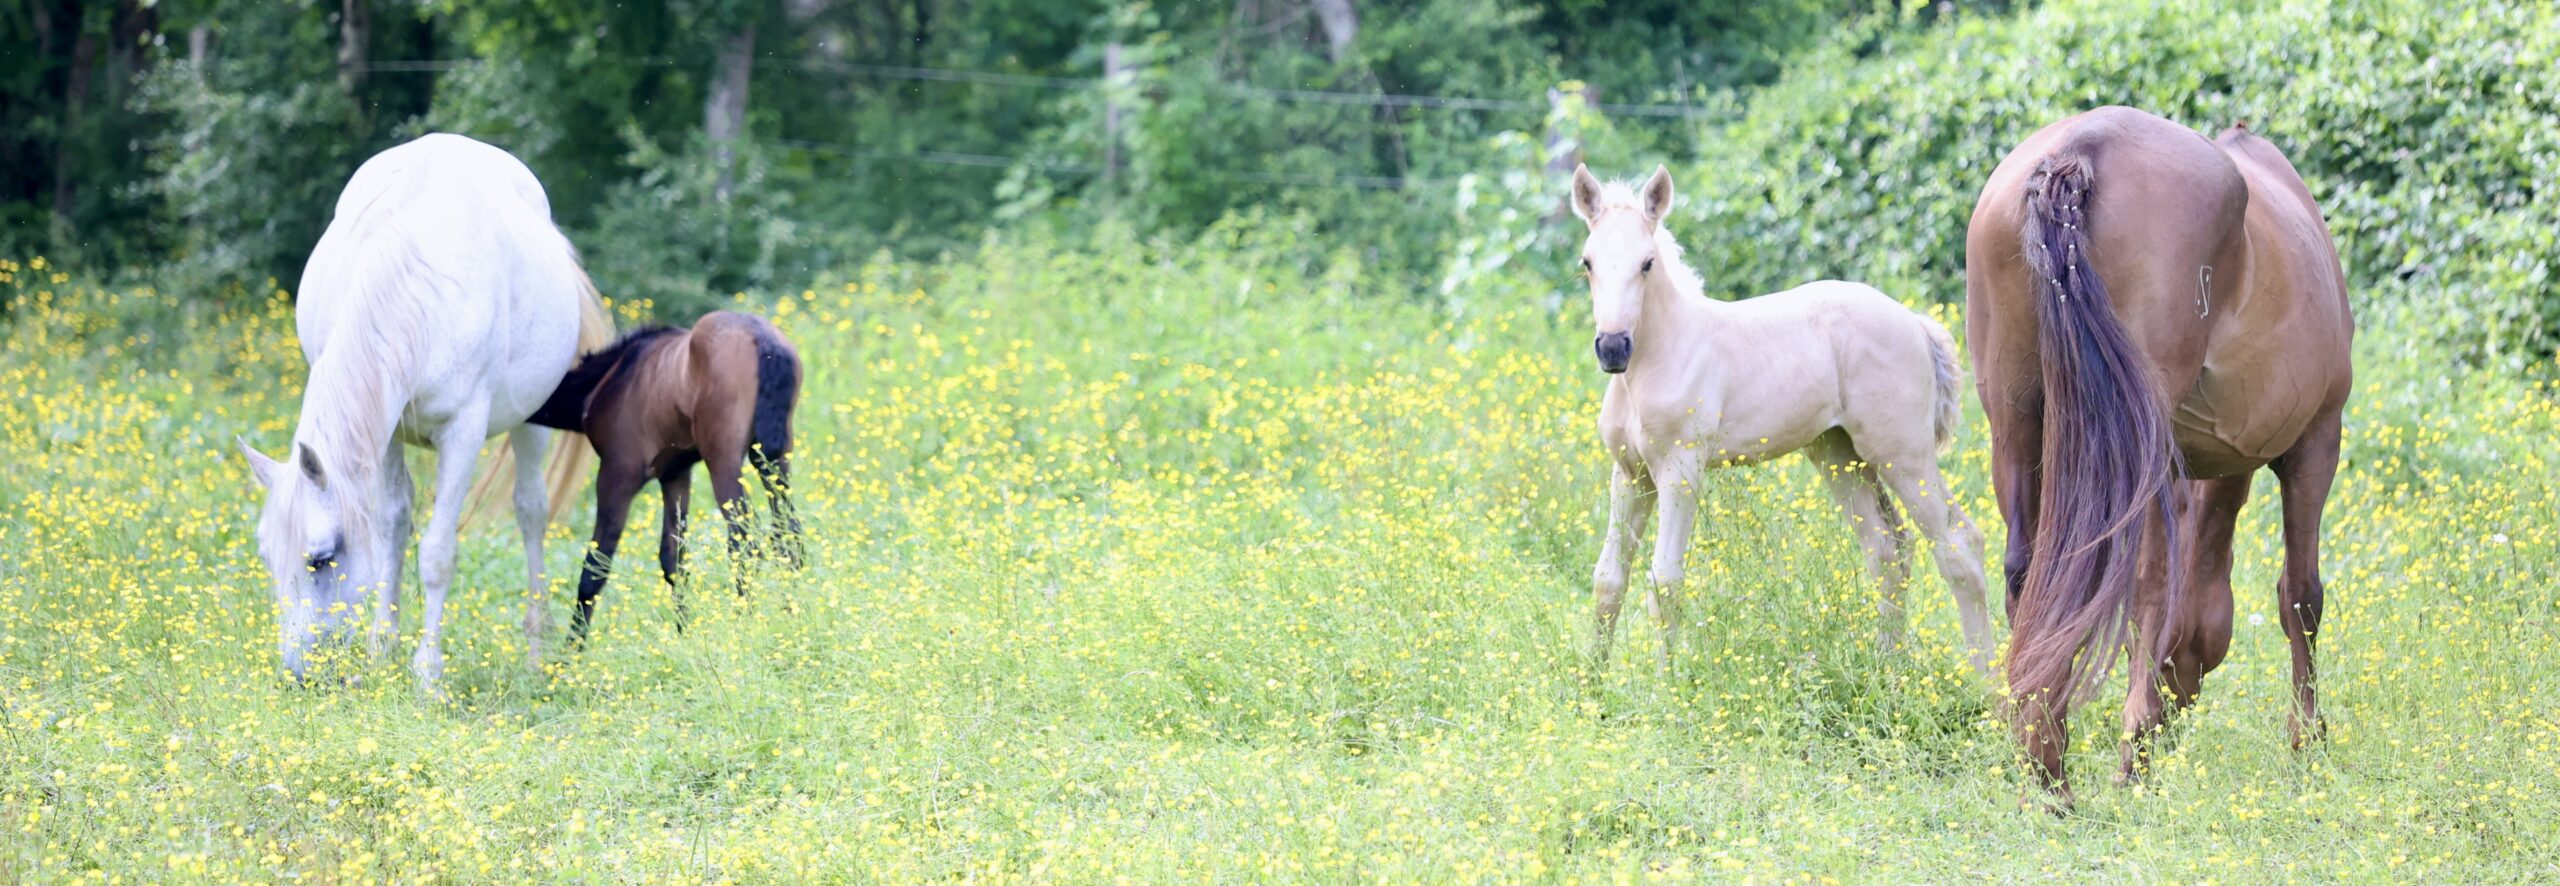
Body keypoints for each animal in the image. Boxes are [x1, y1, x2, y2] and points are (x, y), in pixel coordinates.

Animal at [239, 132, 613, 688]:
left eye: (321, 559)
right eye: (267, 556)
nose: (300, 675)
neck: (417, 283)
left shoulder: (463, 433)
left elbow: (437, 553)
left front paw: (428, 675)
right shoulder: (385, 431)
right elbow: (392, 527)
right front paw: (382, 648)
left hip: (531, 420)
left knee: (530, 510)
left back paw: (534, 651)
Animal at [524, 310, 805, 643]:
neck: (608, 379)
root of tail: (764, 342)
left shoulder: (617, 473)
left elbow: (595, 567)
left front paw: (571, 651)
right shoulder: (675, 475)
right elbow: (673, 560)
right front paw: (685, 633)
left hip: (723, 460)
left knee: (746, 544)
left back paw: (745, 624)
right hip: (775, 457)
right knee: (788, 534)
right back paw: (794, 610)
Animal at [1569, 164, 1998, 676]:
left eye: (1647, 263)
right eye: (1587, 263)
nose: (1613, 348)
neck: (1658, 357)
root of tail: (1914, 322)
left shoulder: (1680, 469)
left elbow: (1665, 581)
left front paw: (1666, 686)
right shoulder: (1631, 474)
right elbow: (1608, 578)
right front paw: (1591, 683)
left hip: (1903, 454)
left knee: (1959, 544)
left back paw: (1988, 682)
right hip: (1839, 454)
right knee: (1887, 550)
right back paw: (1886, 670)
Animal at [1965, 107, 2354, 808]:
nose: (2178, 708)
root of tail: (2078, 151)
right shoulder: (2316, 442)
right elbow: (2301, 597)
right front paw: (2308, 742)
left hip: (2015, 422)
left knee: (2027, 574)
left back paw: (2046, 767)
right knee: (2143, 591)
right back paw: (2123, 759)